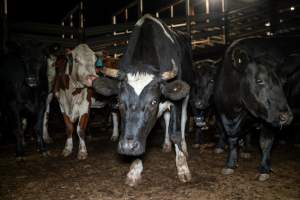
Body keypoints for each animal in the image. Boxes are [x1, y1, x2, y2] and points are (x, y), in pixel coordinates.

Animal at [88, 14, 193, 186]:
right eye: (120, 102)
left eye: (153, 102)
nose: (128, 146)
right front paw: (135, 169)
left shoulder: (174, 99)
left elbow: (175, 132)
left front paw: (183, 168)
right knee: (166, 117)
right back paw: (166, 145)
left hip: (187, 93)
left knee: (182, 119)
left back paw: (184, 147)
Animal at [213, 36, 296, 181]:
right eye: (259, 80)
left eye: (284, 82)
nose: (286, 116)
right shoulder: (225, 113)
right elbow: (232, 138)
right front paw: (230, 164)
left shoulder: (270, 119)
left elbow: (265, 142)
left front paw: (264, 169)